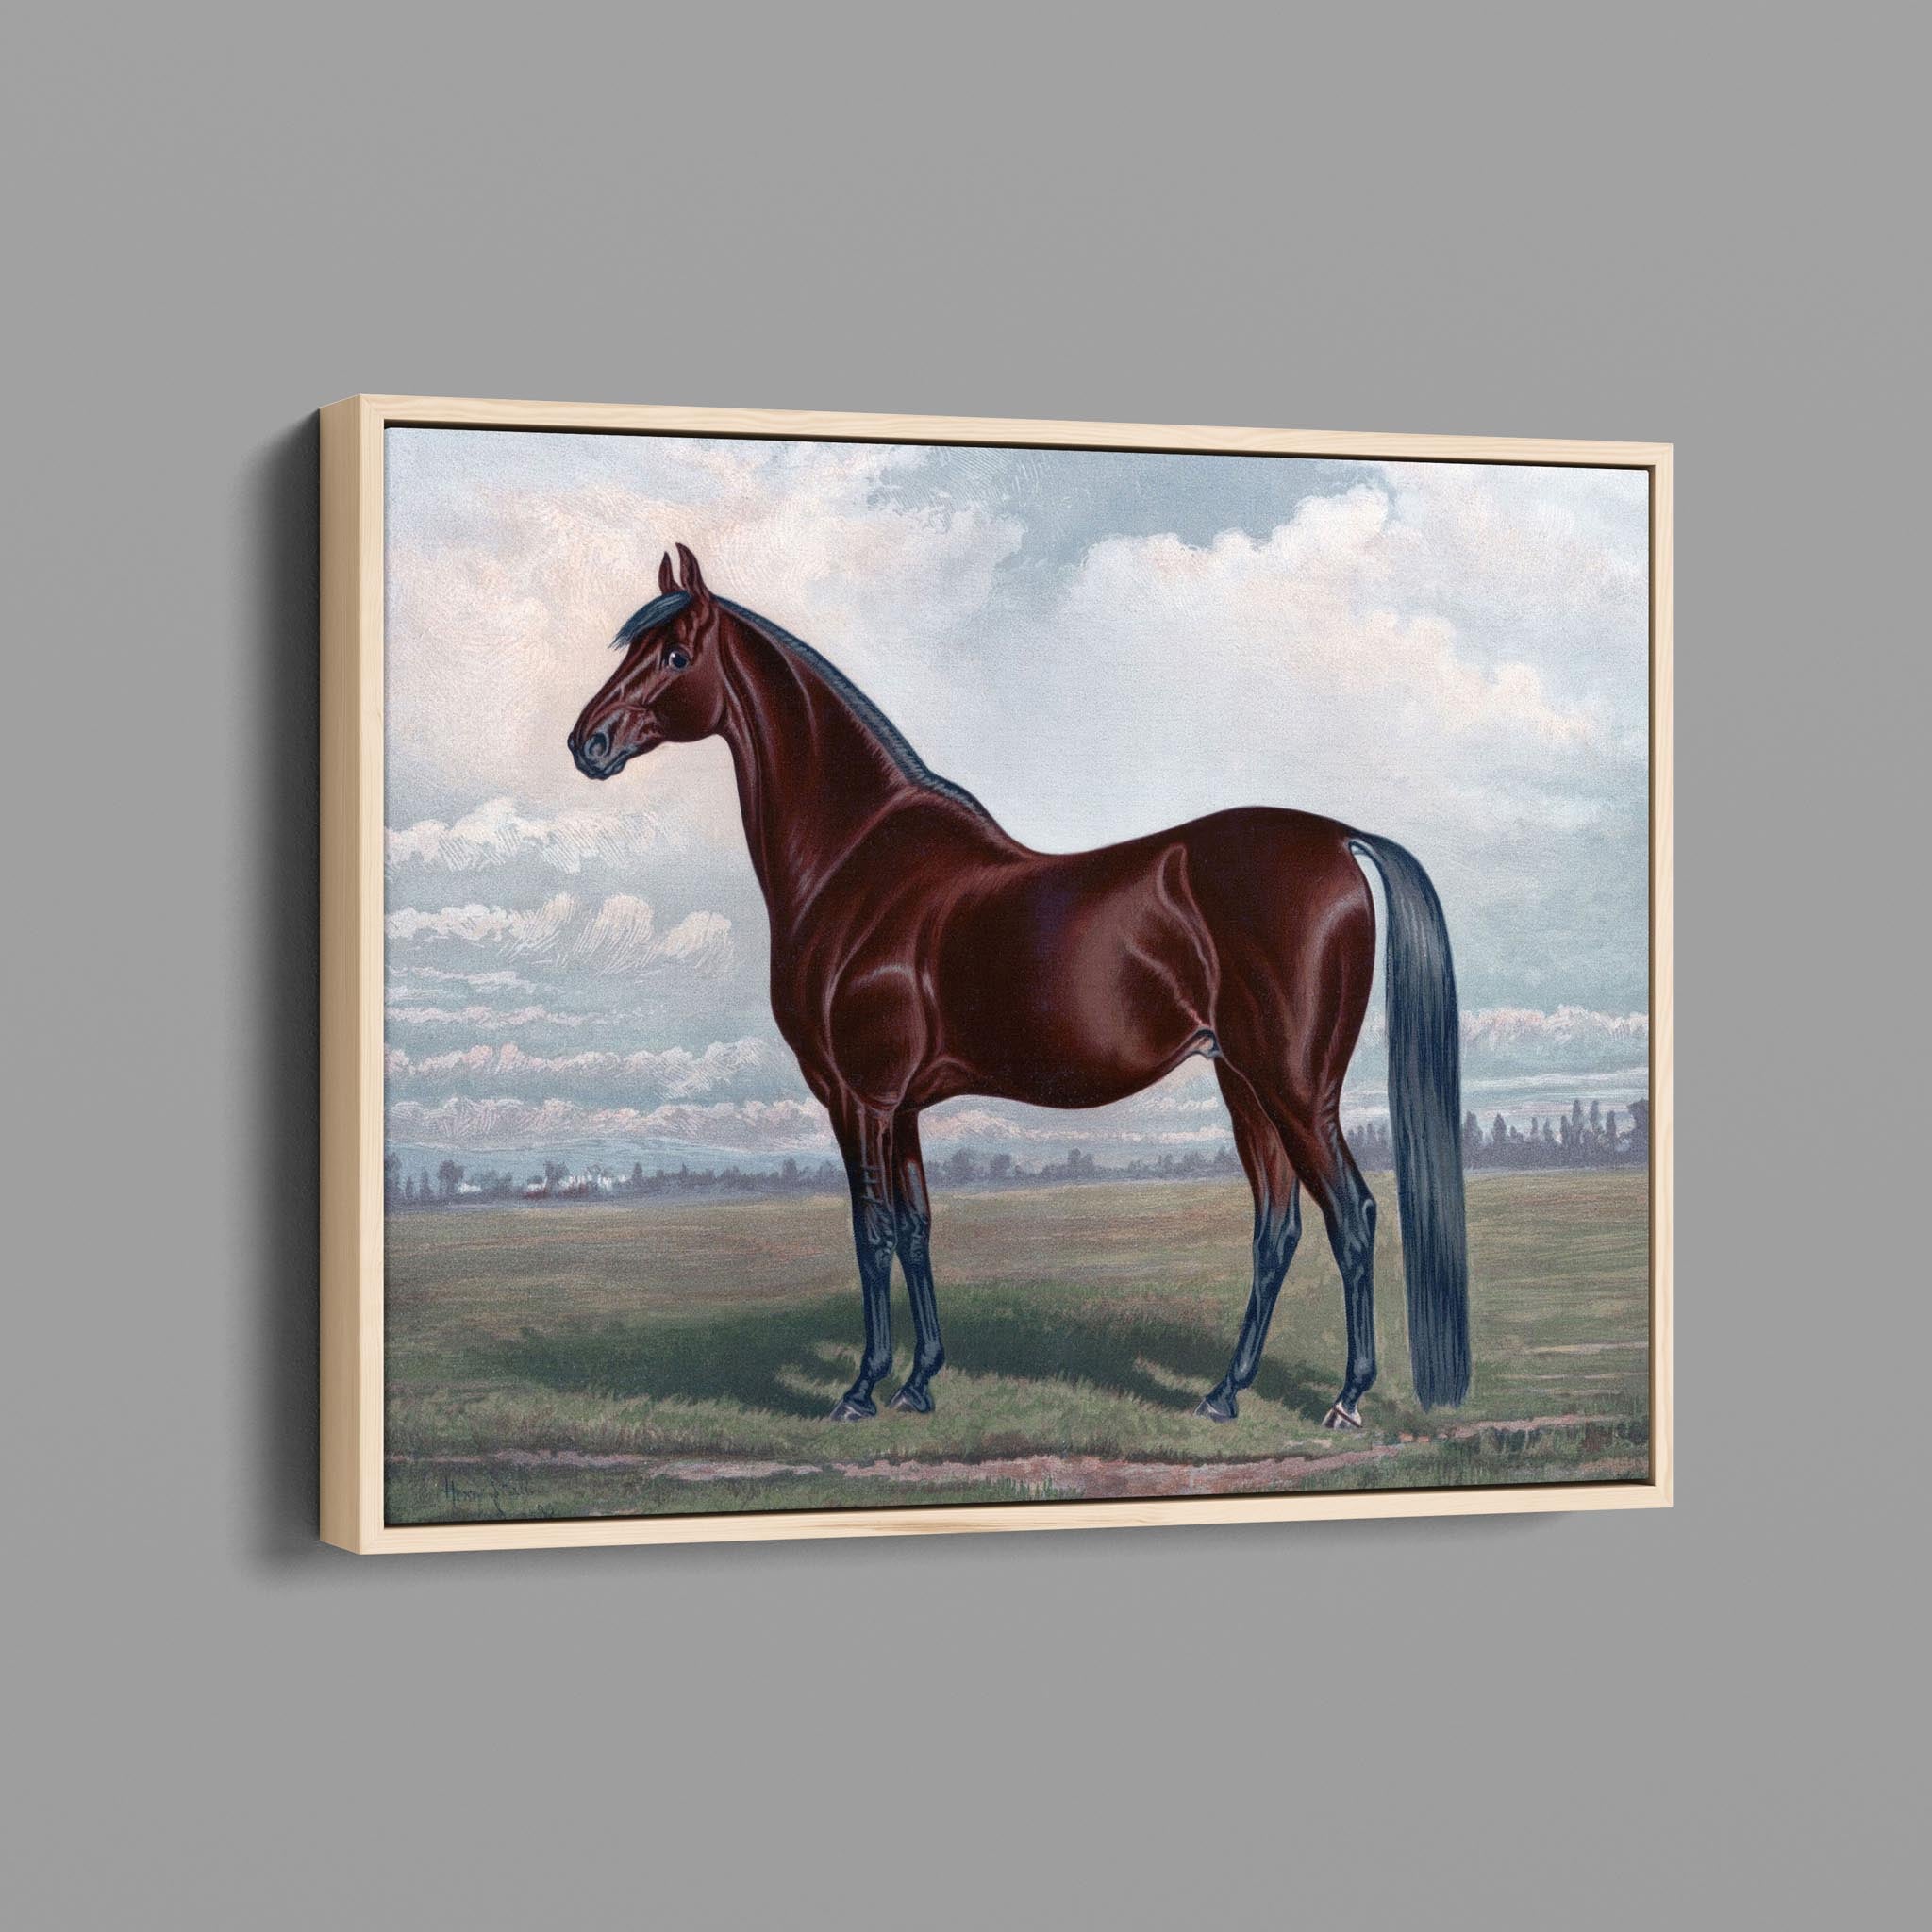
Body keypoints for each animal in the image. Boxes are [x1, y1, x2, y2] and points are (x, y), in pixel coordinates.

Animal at [569, 544, 1469, 1430]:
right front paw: (921, 1381)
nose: (588, 742)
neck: (856, 860)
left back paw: (1346, 1398)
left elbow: (872, 1233)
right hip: (1244, 1084)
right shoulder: (902, 1107)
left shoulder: (859, 1099)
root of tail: (1341, 840)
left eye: (675, 655)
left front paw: (862, 1388)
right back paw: (1223, 1393)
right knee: (1275, 1228)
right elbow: (918, 1228)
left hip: (1296, 1089)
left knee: (1351, 1218)